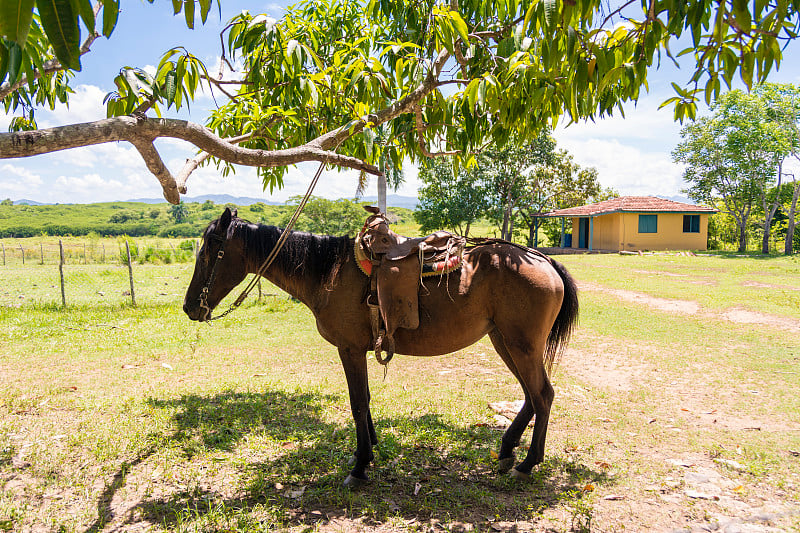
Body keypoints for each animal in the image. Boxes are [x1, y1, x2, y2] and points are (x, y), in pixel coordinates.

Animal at [184, 208, 580, 486]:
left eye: (210, 251)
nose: (190, 308)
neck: (329, 272)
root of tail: (542, 258)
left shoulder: (349, 349)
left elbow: (358, 402)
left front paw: (360, 465)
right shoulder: (356, 350)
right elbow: (366, 400)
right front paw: (370, 448)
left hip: (521, 345)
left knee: (543, 395)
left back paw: (527, 464)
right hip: (505, 342)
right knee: (530, 394)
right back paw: (507, 449)